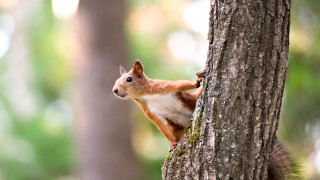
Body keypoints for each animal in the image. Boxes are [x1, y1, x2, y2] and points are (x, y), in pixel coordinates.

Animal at [112, 60, 300, 180]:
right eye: (116, 80)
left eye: (129, 79)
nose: (114, 90)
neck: (146, 96)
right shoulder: (152, 113)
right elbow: (163, 128)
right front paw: (172, 144)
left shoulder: (163, 87)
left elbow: (181, 84)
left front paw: (197, 80)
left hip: (193, 101)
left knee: (195, 96)